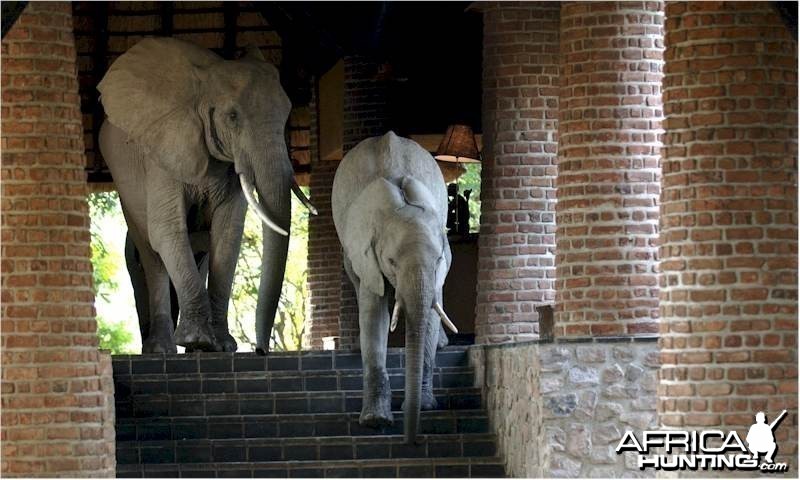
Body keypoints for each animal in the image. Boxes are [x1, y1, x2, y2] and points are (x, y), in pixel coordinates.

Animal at [97, 38, 316, 352]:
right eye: (232, 117)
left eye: (287, 114)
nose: (261, 350)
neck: (205, 80)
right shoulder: (163, 148)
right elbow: (166, 230)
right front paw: (199, 341)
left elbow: (228, 232)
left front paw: (220, 346)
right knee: (152, 252)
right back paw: (161, 349)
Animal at [332, 132, 456, 446]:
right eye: (390, 261)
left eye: (439, 259)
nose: (411, 441)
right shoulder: (366, 252)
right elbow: (373, 314)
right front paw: (376, 421)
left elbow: (431, 315)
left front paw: (425, 406)